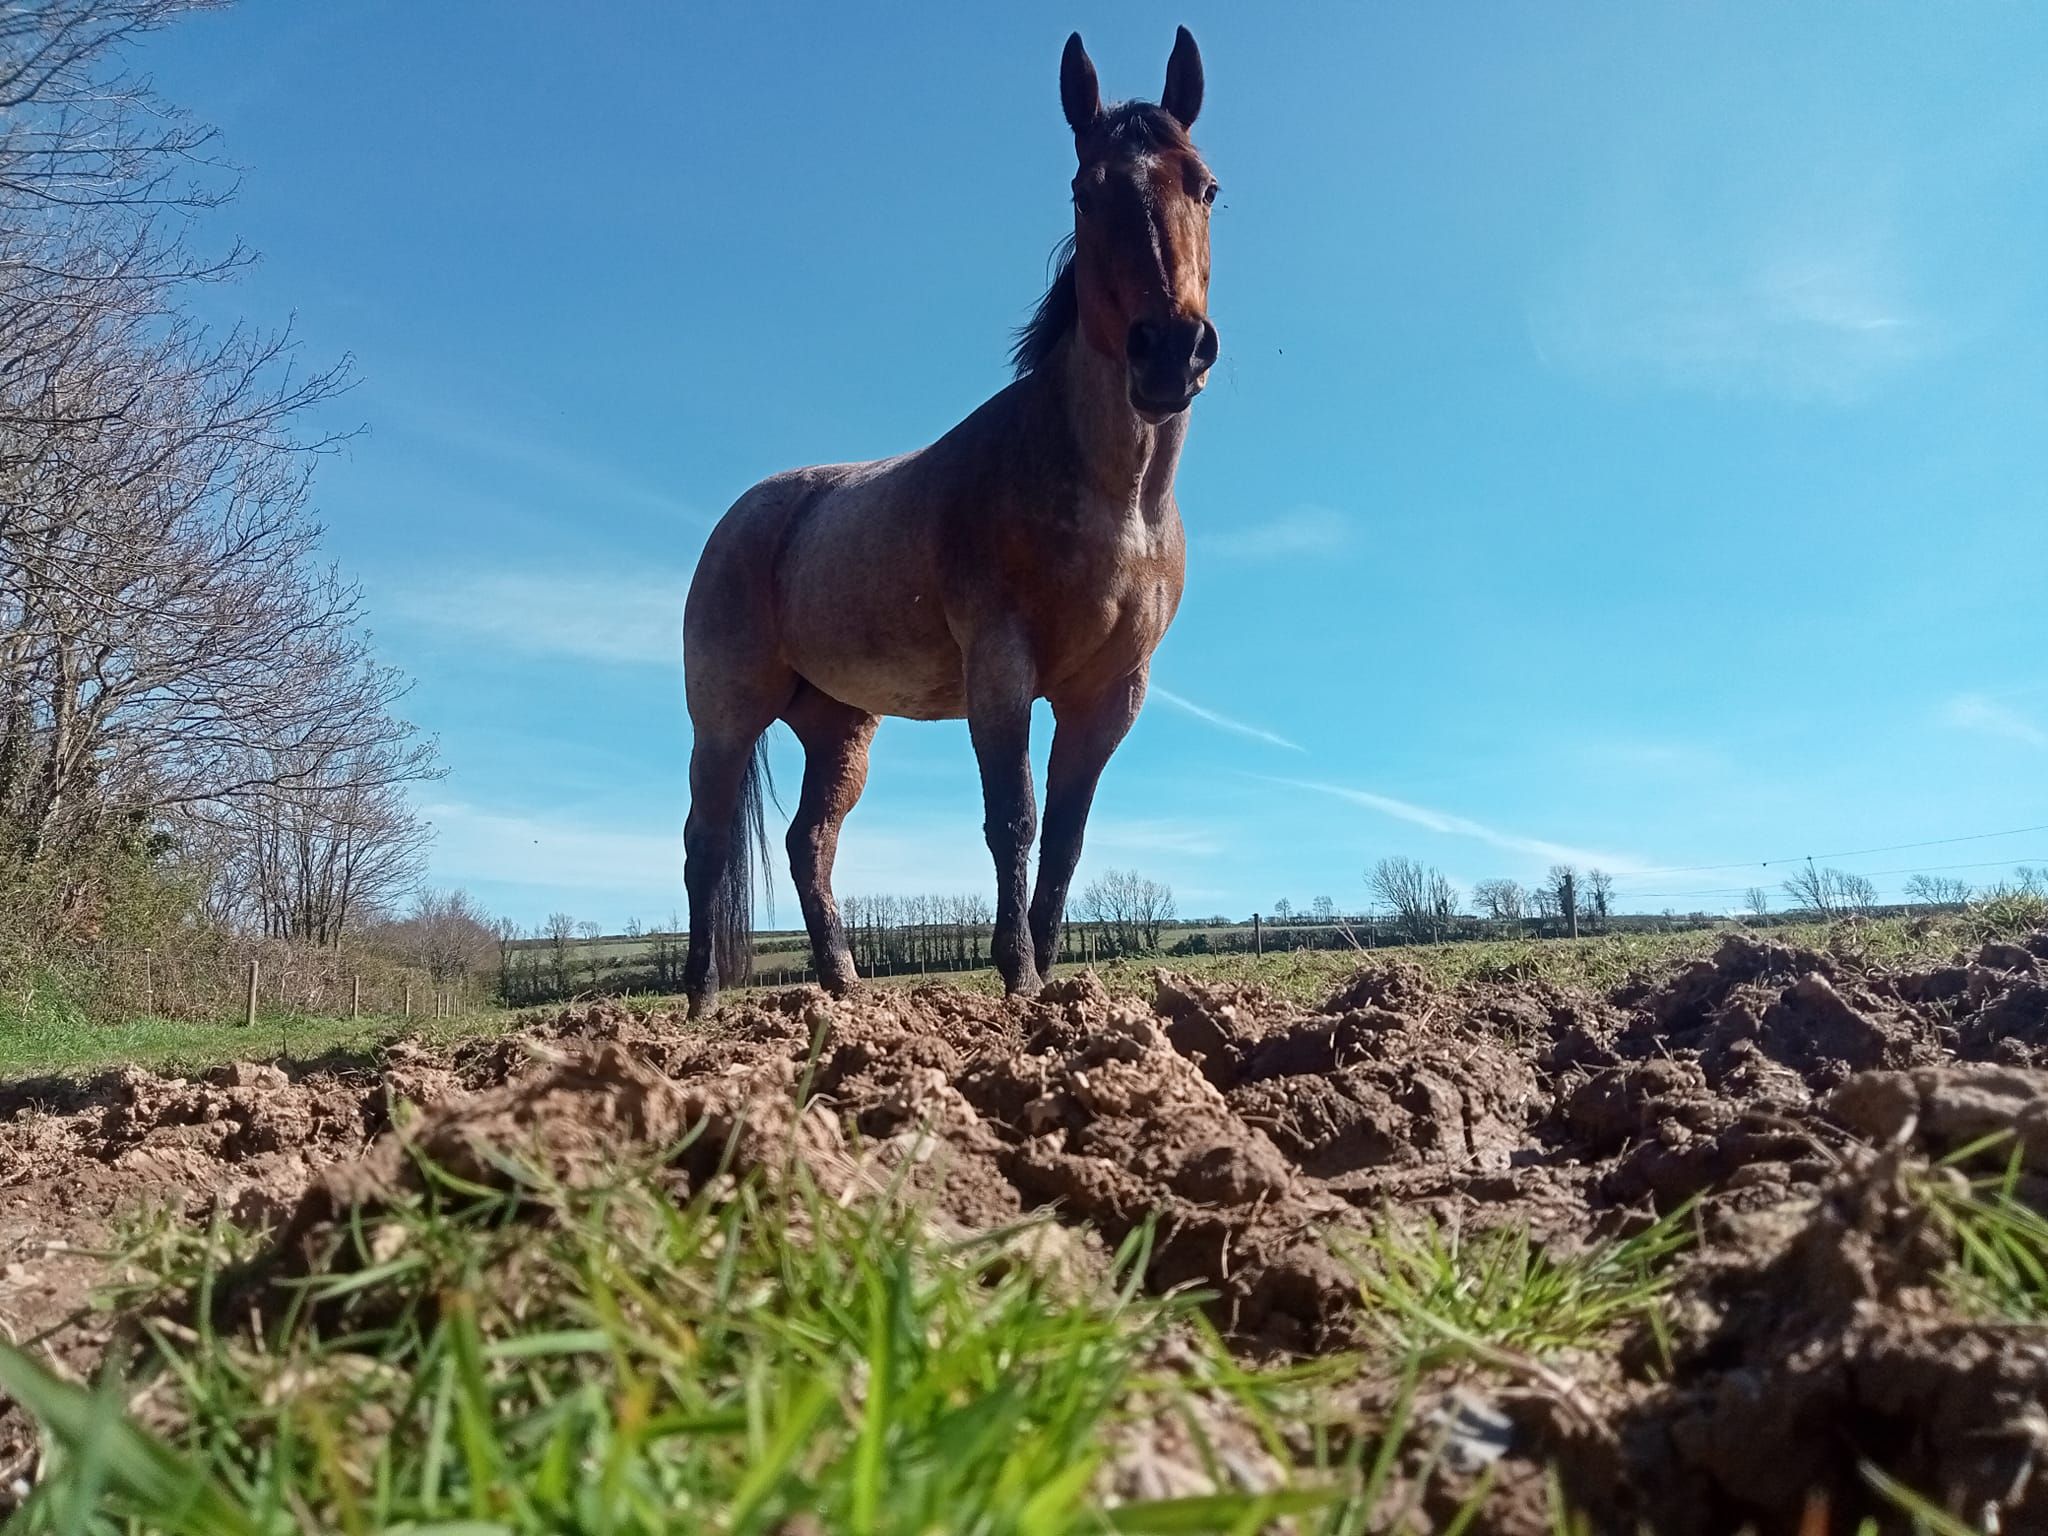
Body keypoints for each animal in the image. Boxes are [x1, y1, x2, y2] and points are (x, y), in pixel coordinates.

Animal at [681, 27, 1220, 1017]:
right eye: (1085, 190)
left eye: (1204, 185)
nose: (1170, 350)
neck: (1114, 501)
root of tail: (744, 516)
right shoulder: (1001, 672)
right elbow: (1014, 819)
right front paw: (1017, 973)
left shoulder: (1108, 696)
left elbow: (1068, 836)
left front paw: (1047, 984)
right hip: (726, 714)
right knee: (706, 840)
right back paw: (700, 1001)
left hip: (839, 727)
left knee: (810, 843)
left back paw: (843, 992)